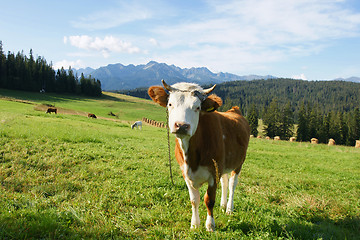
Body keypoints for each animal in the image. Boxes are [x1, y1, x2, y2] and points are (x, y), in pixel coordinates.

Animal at [148, 80, 249, 231]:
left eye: (197, 107)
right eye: (170, 104)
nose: (181, 125)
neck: (192, 159)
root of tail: (234, 110)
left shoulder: (214, 172)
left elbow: (209, 200)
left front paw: (210, 225)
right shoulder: (186, 172)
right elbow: (194, 200)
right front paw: (195, 224)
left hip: (239, 163)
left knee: (232, 184)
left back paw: (229, 209)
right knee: (225, 182)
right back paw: (223, 205)